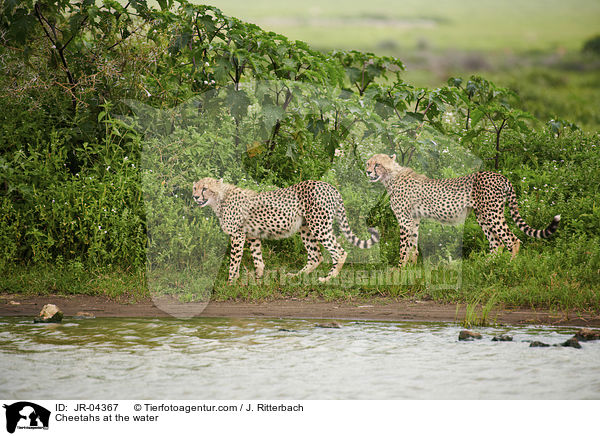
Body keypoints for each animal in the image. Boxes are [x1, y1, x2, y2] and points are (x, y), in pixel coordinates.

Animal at [192, 177, 380, 282]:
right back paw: (297, 276)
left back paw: (328, 278)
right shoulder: (251, 234)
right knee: (316, 256)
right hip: (306, 227)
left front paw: (230, 281)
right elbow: (257, 258)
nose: (195, 196)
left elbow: (234, 261)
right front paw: (258, 278)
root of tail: (328, 185)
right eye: (195, 187)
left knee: (339, 252)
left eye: (205, 188)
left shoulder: (237, 235)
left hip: (319, 226)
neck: (219, 199)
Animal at [364, 155, 560, 268]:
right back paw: (485, 265)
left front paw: (399, 268)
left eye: (377, 164)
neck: (390, 176)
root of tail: (499, 175)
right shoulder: (414, 219)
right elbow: (413, 244)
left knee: (512, 239)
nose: (367, 172)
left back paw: (509, 266)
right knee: (497, 243)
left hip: (492, 213)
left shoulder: (404, 220)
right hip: (482, 216)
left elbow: (403, 247)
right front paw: (410, 268)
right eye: (368, 163)